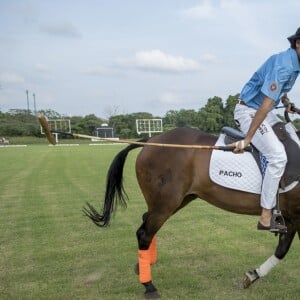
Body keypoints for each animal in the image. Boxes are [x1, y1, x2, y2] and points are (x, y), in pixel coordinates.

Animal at [83, 123, 300, 298]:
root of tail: (151, 140)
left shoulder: (290, 219)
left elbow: (281, 250)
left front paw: (251, 276)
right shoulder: (296, 218)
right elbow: (284, 250)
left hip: (177, 200)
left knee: (146, 223)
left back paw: (144, 265)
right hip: (166, 203)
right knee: (144, 233)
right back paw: (149, 285)